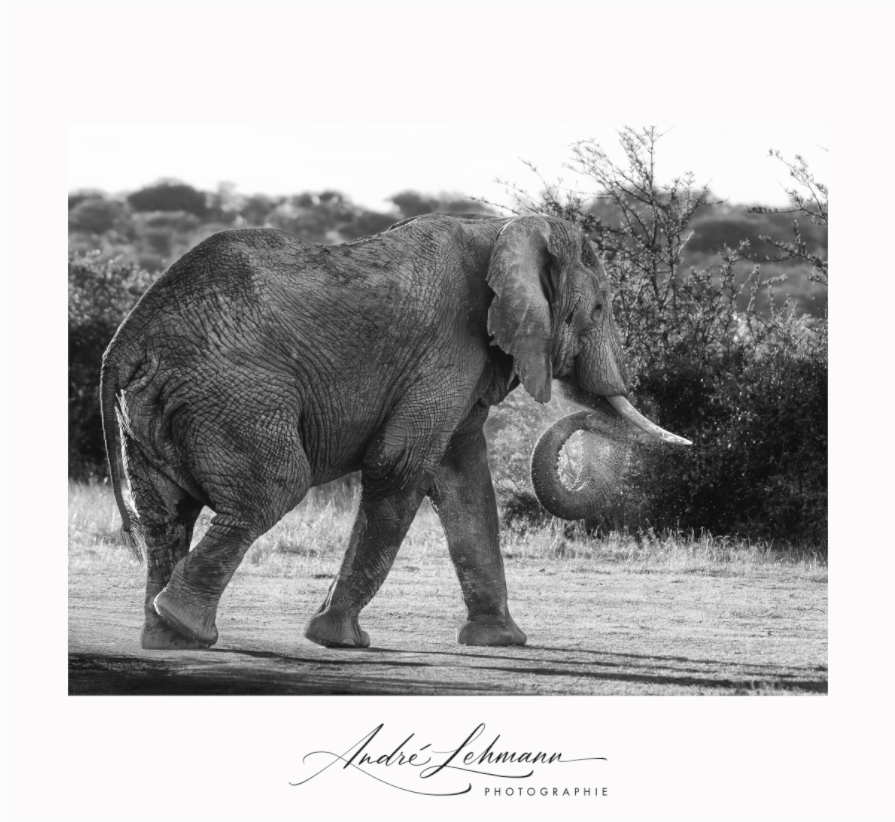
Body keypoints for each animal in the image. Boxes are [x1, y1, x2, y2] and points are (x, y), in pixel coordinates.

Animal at [100, 213, 690, 651]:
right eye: (599, 307)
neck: (504, 229)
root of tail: (126, 341)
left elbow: (465, 481)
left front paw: (501, 642)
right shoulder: (450, 345)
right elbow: (399, 465)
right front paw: (339, 641)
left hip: (156, 406)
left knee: (164, 515)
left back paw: (167, 640)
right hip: (234, 395)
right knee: (272, 490)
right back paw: (185, 625)